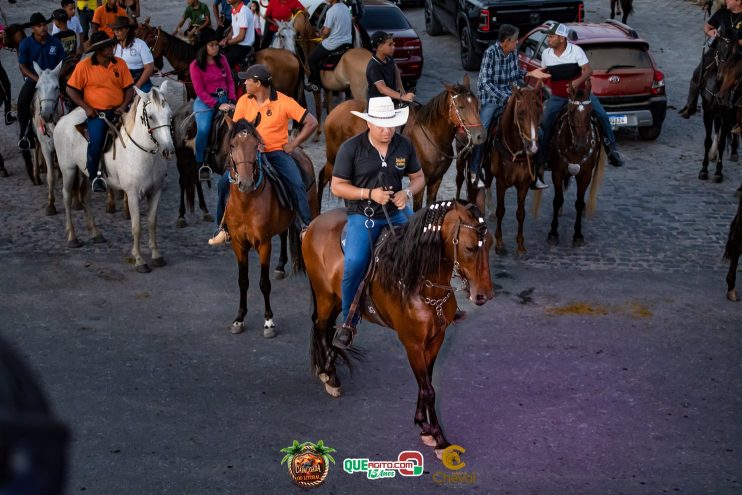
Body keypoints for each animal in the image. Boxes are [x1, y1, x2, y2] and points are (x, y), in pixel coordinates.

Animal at [54, 87, 176, 274]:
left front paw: (156, 255)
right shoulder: (132, 194)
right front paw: (139, 260)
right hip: (68, 169)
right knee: (67, 198)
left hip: (87, 174)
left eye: (170, 115)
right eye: (151, 116)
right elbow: (136, 226)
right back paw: (72, 237)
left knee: (85, 198)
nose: (168, 150)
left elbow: (151, 223)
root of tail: (64, 119)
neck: (142, 153)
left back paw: (95, 233)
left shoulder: (155, 191)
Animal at [222, 118, 318, 340]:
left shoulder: (264, 244)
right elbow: (243, 281)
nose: (246, 183)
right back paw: (281, 266)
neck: (246, 202)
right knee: (283, 234)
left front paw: (268, 322)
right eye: (232, 145)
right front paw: (239, 319)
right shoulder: (238, 245)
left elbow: (264, 283)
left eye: (255, 146)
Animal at [302, 201, 494, 458]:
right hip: (324, 295)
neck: (420, 284)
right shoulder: (412, 344)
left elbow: (427, 383)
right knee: (321, 327)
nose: (484, 295)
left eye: (490, 244)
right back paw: (329, 377)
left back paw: (328, 369)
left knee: (327, 327)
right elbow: (428, 390)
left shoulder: (436, 340)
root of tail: (312, 225)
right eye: (470, 248)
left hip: (335, 297)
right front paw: (439, 439)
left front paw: (424, 427)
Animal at [544, 81, 608, 248]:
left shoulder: (585, 175)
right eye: (571, 112)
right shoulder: (557, 172)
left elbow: (579, 203)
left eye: (590, 112)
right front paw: (553, 232)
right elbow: (557, 200)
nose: (581, 145)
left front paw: (578, 234)